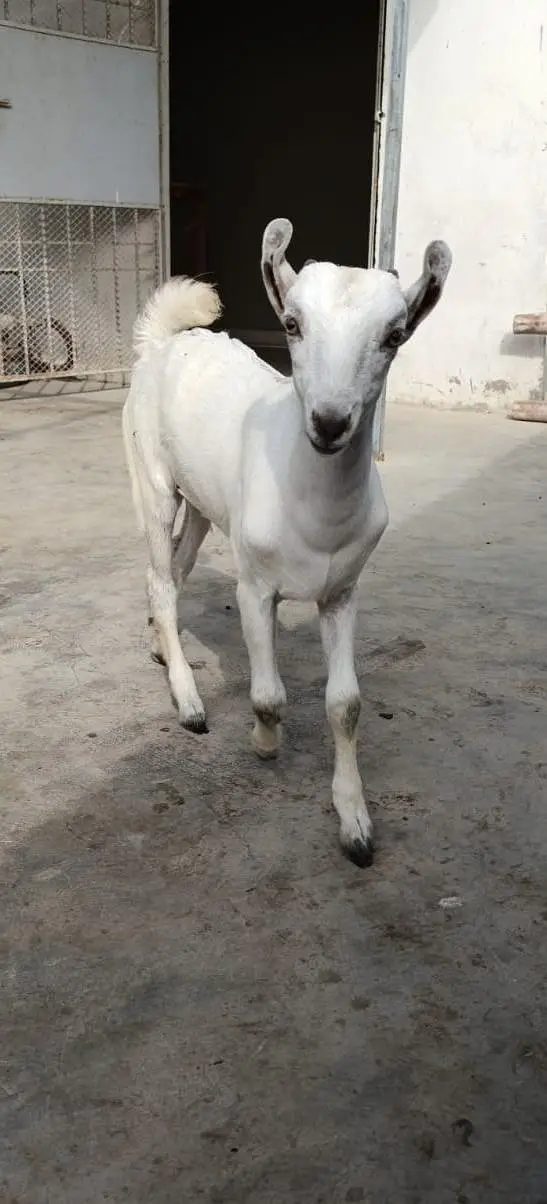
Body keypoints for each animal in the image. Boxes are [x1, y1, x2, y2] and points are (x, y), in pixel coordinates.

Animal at [122, 218, 451, 867]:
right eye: (292, 324)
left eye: (395, 335)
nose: (329, 422)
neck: (314, 511)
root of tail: (162, 343)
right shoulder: (255, 586)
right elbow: (270, 695)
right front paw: (264, 742)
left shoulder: (343, 592)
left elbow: (346, 704)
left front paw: (355, 823)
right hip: (151, 478)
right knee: (159, 577)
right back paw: (188, 701)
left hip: (203, 505)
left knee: (176, 568)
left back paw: (161, 648)